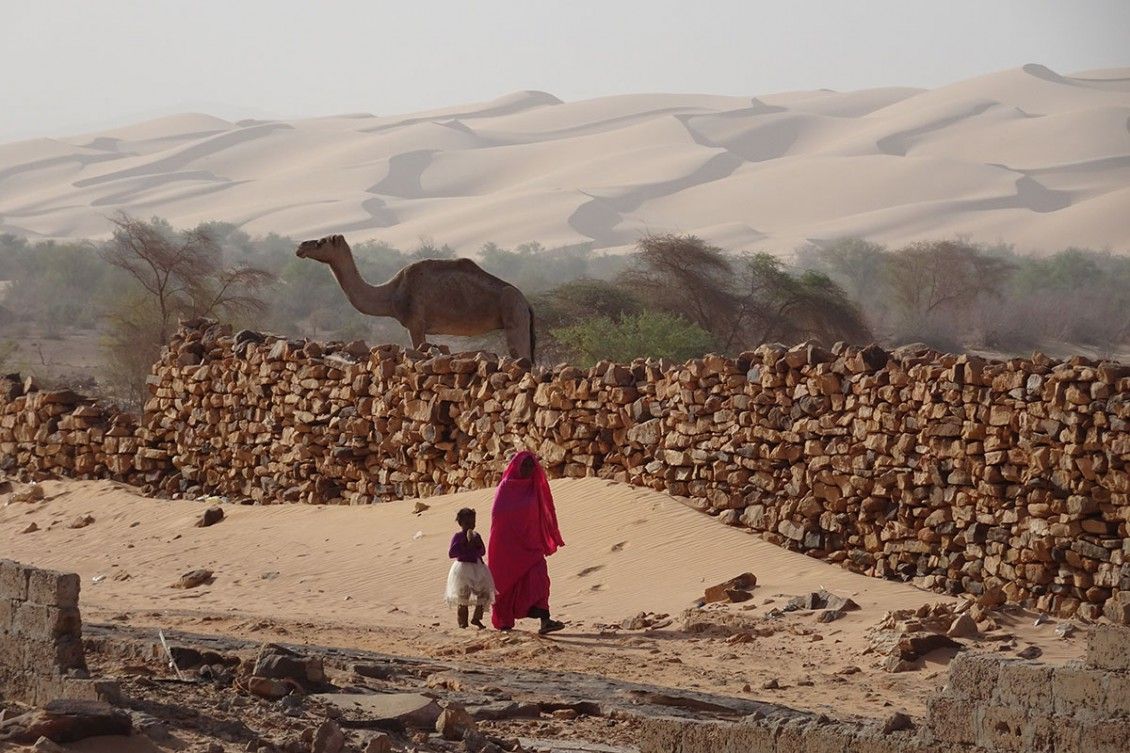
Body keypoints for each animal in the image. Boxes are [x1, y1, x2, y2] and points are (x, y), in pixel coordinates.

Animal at [296, 235, 533, 361]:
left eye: (321, 242)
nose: (301, 247)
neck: (391, 293)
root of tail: (527, 302)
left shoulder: (416, 322)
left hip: (514, 314)